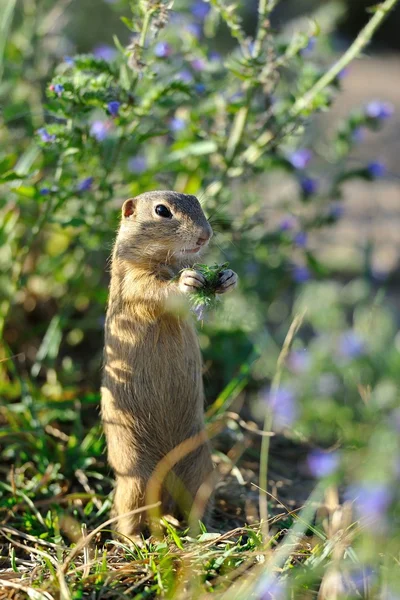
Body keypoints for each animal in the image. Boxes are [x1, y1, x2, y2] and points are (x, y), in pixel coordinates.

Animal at [101, 190, 238, 536]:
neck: (165, 259)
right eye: (162, 211)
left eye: (197, 201)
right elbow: (157, 290)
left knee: (195, 508)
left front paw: (227, 277)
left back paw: (203, 533)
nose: (205, 235)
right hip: (134, 474)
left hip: (201, 468)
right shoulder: (134, 280)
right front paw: (187, 281)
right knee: (128, 515)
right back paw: (136, 540)